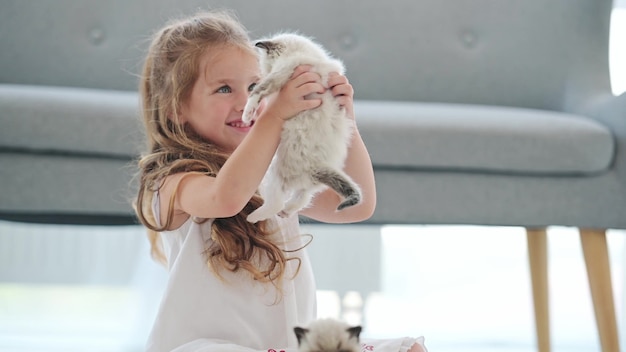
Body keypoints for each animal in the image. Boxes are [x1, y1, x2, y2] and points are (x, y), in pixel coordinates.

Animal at [243, 31, 364, 223]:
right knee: (303, 197)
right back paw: (285, 212)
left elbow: (257, 92)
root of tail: (315, 170)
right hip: (304, 182)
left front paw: (247, 114)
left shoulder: (282, 72)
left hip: (273, 172)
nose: (264, 72)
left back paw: (253, 217)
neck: (308, 53)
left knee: (277, 203)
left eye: (265, 66)